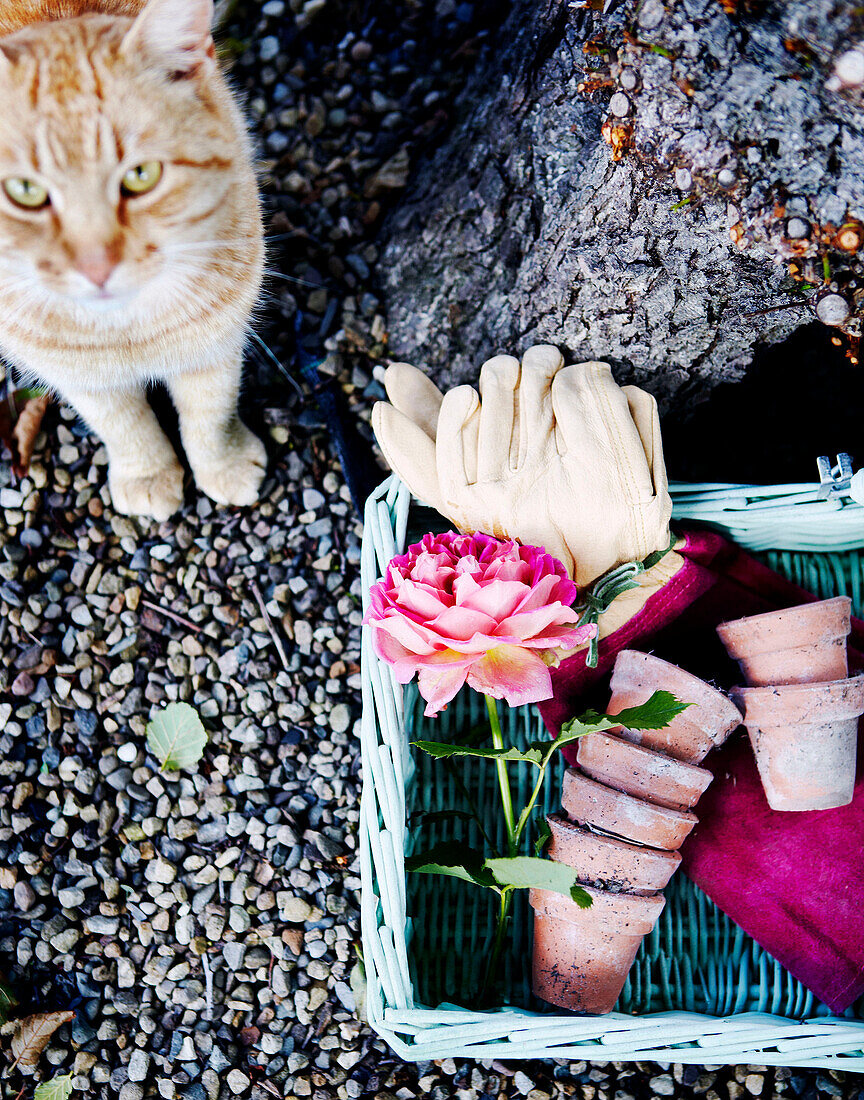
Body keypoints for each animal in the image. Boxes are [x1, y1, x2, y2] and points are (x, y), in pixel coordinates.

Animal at [0, 0, 264, 519]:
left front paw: (224, 464)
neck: (129, 329)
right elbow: (122, 424)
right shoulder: (76, 375)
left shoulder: (216, 335)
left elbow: (212, 408)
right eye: (24, 191)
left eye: (141, 176)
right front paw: (147, 474)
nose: (96, 266)